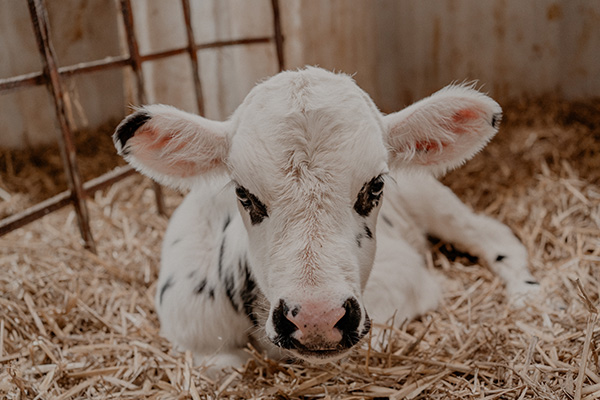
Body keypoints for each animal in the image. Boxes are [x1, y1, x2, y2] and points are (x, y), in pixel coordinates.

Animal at [113, 65, 540, 368]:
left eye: (376, 185)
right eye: (243, 193)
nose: (316, 318)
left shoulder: (402, 278)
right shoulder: (189, 324)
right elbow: (225, 366)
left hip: (437, 202)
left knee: (493, 235)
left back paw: (527, 294)